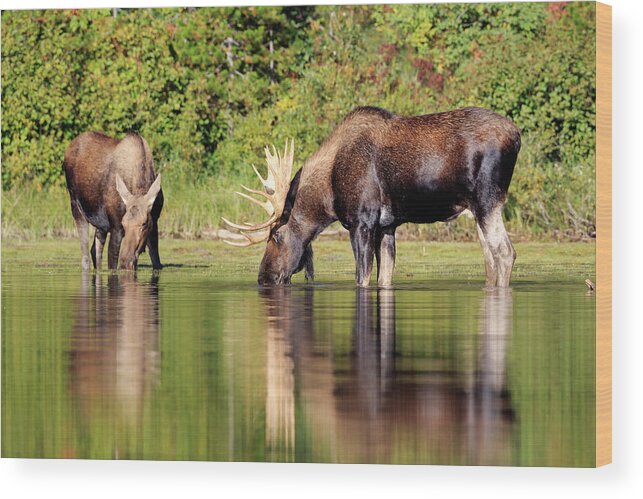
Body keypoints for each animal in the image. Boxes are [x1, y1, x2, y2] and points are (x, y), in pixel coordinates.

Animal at [63, 132, 164, 274]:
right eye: (124, 223)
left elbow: (157, 263)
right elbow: (112, 264)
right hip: (76, 206)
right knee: (85, 257)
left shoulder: (154, 222)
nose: (125, 261)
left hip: (101, 226)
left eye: (144, 224)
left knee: (95, 250)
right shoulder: (116, 227)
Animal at [224, 108, 520, 290]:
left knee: (505, 252)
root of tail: (517, 136)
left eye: (276, 235)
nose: (263, 277)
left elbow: (361, 278)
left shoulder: (361, 221)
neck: (328, 195)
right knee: (490, 259)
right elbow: (384, 277)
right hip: (478, 208)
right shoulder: (387, 226)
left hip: (487, 201)